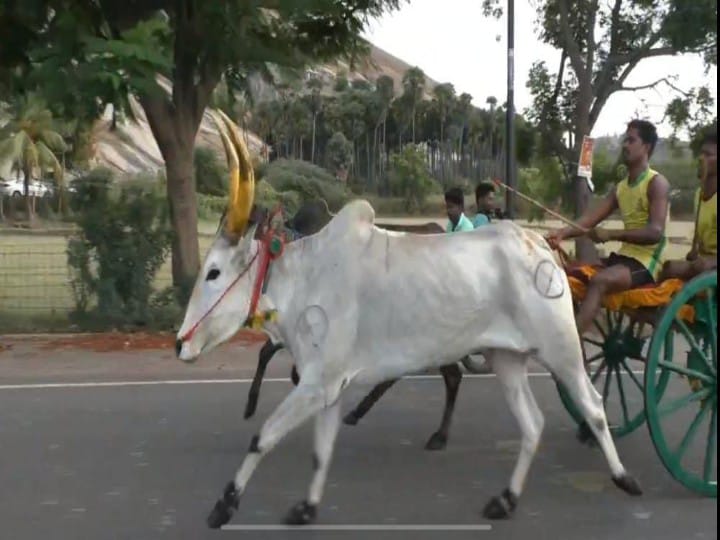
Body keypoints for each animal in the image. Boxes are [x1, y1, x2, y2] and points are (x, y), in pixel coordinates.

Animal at [176, 109, 640, 528]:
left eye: (214, 272)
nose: (181, 342)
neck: (306, 276)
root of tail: (540, 244)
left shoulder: (315, 383)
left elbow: (263, 437)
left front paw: (224, 505)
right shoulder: (326, 386)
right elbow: (321, 450)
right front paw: (306, 507)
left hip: (562, 350)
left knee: (593, 406)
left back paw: (623, 477)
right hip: (506, 359)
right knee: (532, 424)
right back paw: (504, 500)